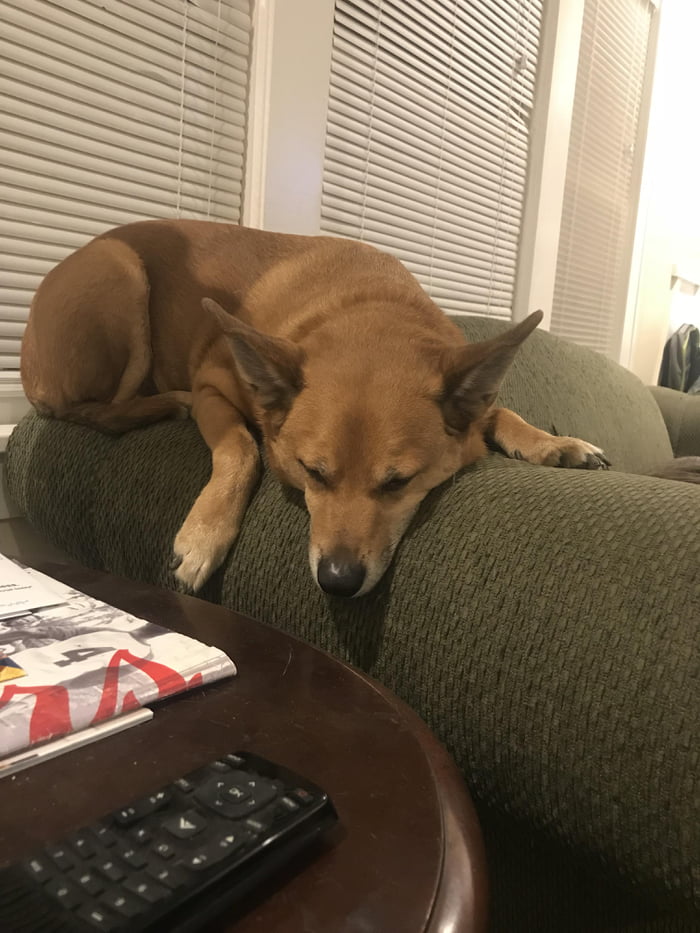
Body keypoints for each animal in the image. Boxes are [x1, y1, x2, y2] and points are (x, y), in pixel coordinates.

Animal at [20, 219, 612, 596]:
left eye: (398, 483)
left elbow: (500, 413)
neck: (368, 306)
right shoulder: (214, 386)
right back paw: (164, 402)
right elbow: (242, 450)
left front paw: (555, 443)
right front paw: (204, 535)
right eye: (312, 473)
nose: (338, 582)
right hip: (121, 273)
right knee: (95, 409)